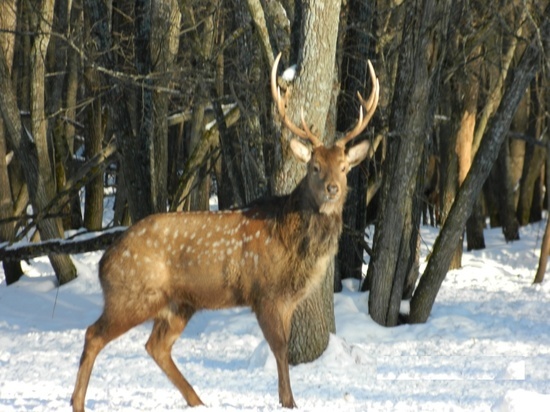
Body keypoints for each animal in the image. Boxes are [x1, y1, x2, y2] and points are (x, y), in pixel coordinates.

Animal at [71, 53, 378, 410]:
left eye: (344, 167)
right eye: (314, 167)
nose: (332, 189)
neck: (296, 250)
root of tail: (104, 260)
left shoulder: (286, 300)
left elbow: (283, 347)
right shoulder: (265, 292)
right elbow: (280, 349)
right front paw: (289, 401)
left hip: (179, 304)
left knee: (155, 345)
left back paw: (197, 400)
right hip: (132, 294)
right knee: (94, 334)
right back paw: (78, 402)